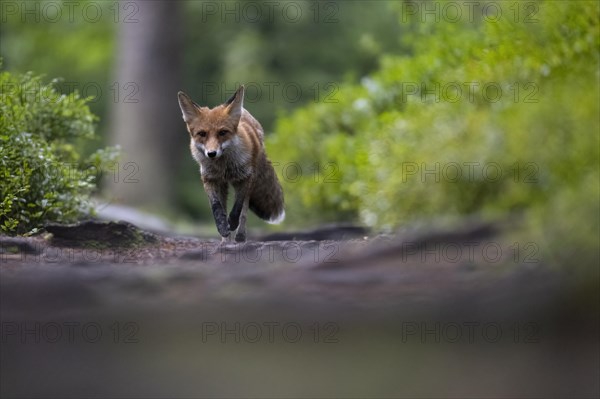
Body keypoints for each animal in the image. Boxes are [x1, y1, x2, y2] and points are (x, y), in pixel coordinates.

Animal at [177, 86, 284, 242]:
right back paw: (225, 240)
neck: (223, 168)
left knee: (244, 210)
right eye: (202, 134)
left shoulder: (245, 178)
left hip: (251, 180)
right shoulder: (210, 179)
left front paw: (232, 223)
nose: (211, 153)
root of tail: (244, 111)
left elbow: (238, 207)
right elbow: (216, 207)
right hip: (224, 187)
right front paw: (222, 227)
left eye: (222, 132)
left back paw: (240, 236)